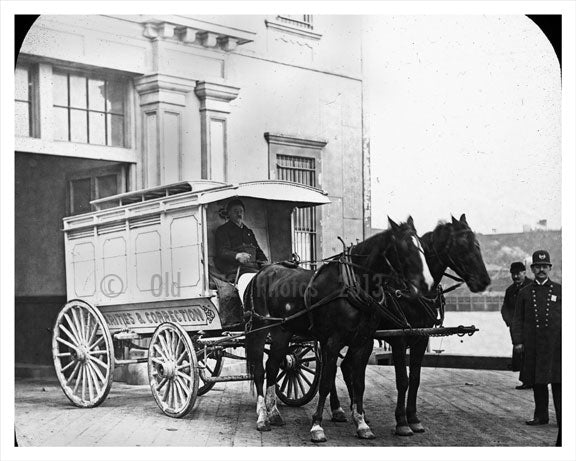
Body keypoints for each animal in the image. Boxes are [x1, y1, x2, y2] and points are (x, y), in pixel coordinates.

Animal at [243, 217, 432, 442]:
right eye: (405, 247)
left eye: (422, 246)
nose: (426, 284)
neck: (354, 285)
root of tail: (260, 273)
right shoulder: (333, 341)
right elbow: (325, 381)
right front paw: (317, 426)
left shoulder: (363, 342)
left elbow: (359, 383)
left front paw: (361, 423)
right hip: (259, 329)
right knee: (259, 369)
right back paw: (262, 416)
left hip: (283, 331)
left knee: (272, 366)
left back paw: (274, 413)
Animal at [328, 212, 490, 434]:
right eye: (463, 245)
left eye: (477, 244)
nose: (484, 281)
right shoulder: (400, 338)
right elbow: (402, 380)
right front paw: (402, 422)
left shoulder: (421, 338)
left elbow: (415, 379)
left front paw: (413, 417)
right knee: (331, 368)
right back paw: (337, 409)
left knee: (346, 366)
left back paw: (359, 414)